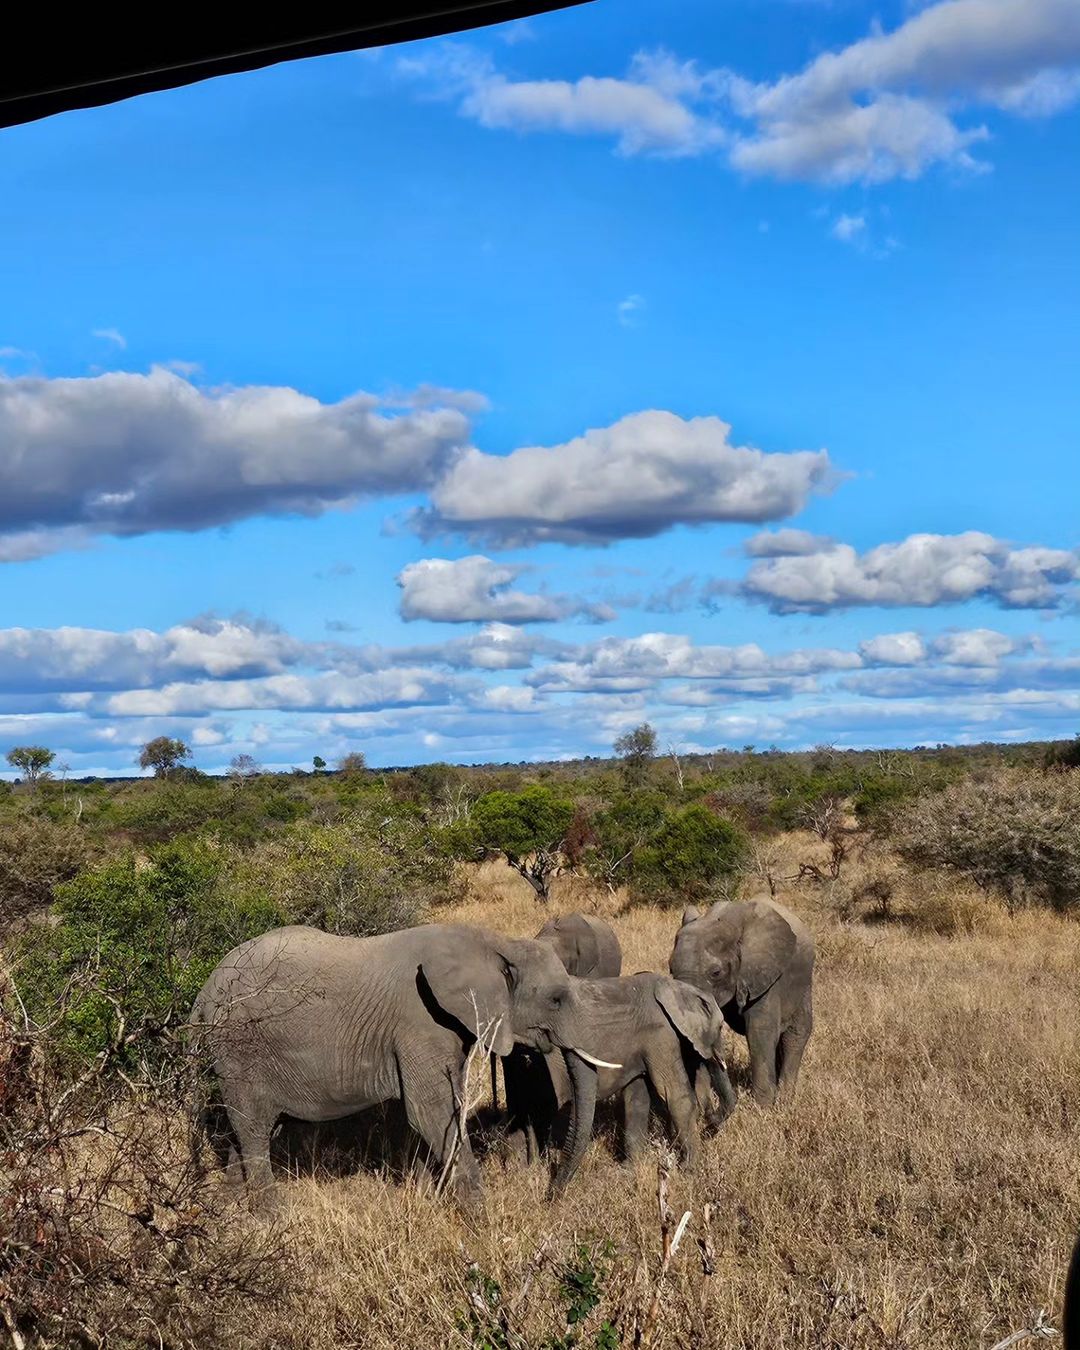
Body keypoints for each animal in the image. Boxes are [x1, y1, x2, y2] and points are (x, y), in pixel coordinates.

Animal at [502, 977, 729, 1188]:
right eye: (720, 1027)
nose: (711, 1123)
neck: (676, 987)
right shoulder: (661, 1033)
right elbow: (676, 1095)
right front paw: (690, 1171)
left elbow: (636, 1100)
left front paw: (629, 1169)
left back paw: (520, 1172)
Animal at [669, 896, 815, 1107]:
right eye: (670, 968)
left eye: (716, 973)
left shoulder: (764, 975)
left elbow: (759, 1032)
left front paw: (762, 1108)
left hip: (804, 980)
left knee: (795, 1035)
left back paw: (785, 1100)